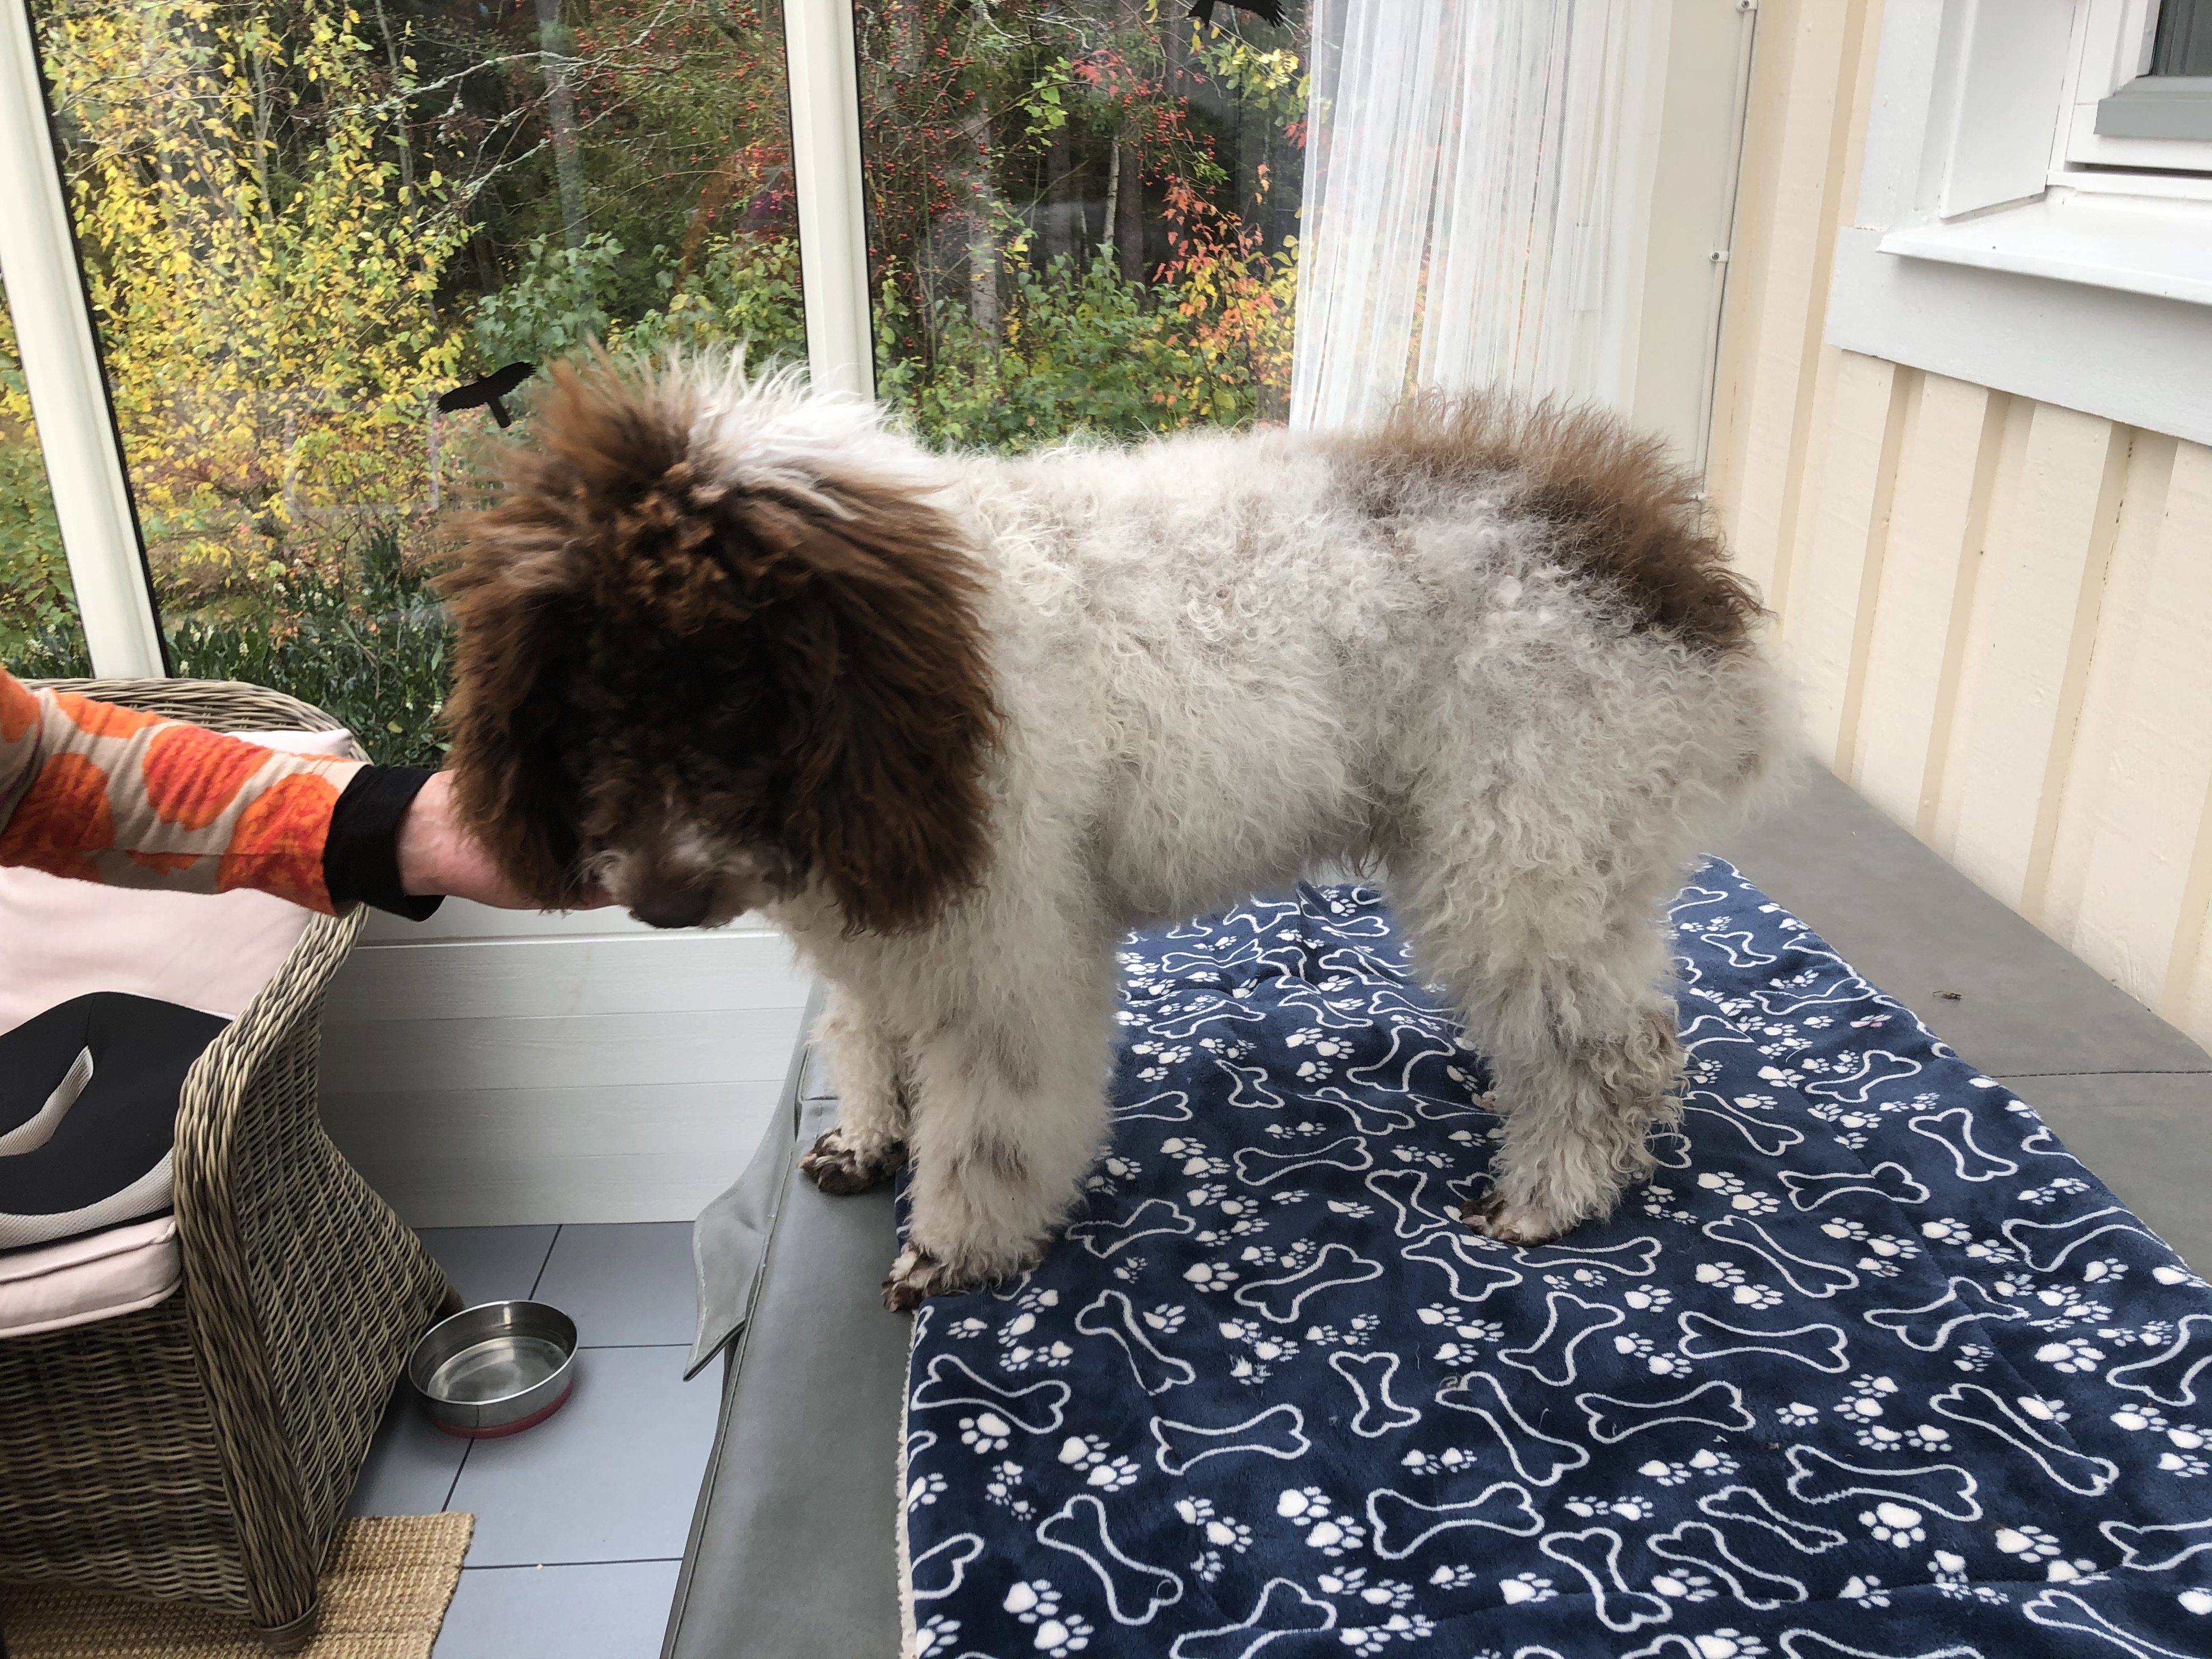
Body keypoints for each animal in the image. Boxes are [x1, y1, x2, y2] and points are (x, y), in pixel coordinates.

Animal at [440, 357, 1780, 1311]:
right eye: (585, 703)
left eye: (730, 693)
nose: (659, 896)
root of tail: (1664, 558)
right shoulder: (884, 915)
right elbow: (866, 1037)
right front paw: (870, 1135)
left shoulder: (1007, 948)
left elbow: (986, 1133)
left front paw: (953, 1250)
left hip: (1523, 845)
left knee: (1612, 1046)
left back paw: (1550, 1192)